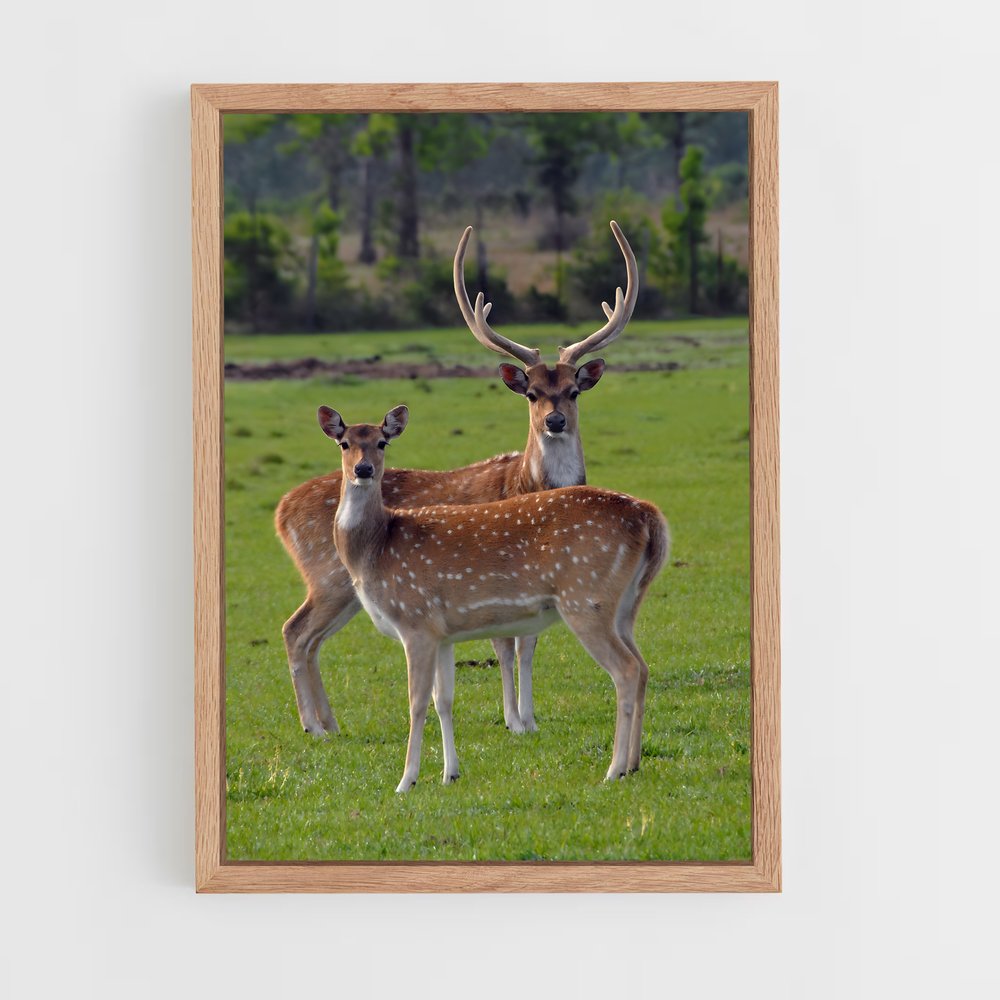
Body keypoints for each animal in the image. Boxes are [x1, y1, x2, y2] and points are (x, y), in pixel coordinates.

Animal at [275, 221, 637, 739]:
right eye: (531, 392)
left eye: (573, 391)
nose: (555, 421)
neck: (526, 484)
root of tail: (281, 511)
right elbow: (506, 644)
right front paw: (514, 720)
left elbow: (528, 642)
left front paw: (529, 718)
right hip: (327, 576)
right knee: (295, 630)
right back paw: (315, 726)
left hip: (345, 589)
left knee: (310, 637)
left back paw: (330, 723)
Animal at [319, 404, 669, 791]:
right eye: (344, 443)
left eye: (382, 442)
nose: (363, 470)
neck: (375, 549)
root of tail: (650, 516)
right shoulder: (442, 634)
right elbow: (444, 700)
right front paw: (449, 773)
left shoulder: (415, 621)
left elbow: (416, 703)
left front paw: (406, 781)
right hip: (624, 605)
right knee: (643, 666)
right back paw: (634, 763)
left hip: (585, 597)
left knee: (626, 669)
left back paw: (614, 769)